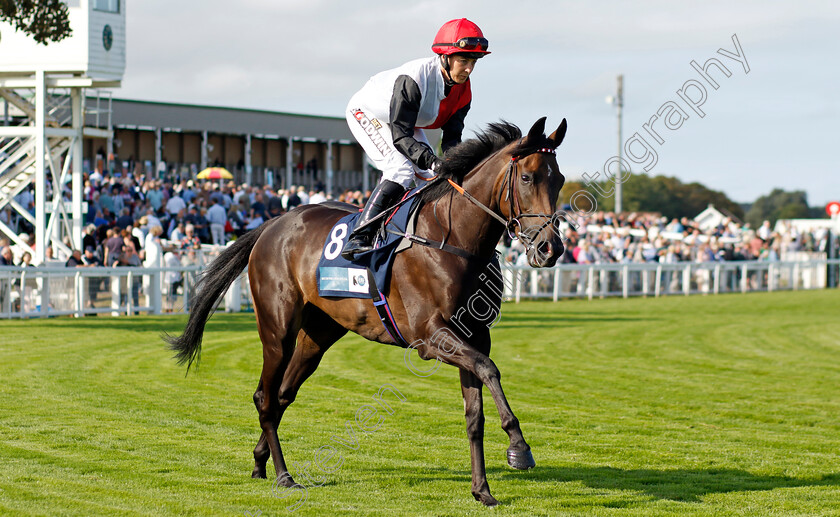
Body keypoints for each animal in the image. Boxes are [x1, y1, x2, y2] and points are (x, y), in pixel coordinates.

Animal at [167, 116, 568, 504]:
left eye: (560, 179)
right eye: (528, 177)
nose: (551, 248)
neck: (451, 239)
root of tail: (271, 224)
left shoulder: (473, 335)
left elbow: (475, 412)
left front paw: (482, 490)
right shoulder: (430, 337)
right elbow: (490, 369)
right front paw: (519, 447)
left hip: (318, 333)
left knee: (282, 394)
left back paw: (259, 460)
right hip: (277, 330)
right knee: (265, 396)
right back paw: (284, 475)